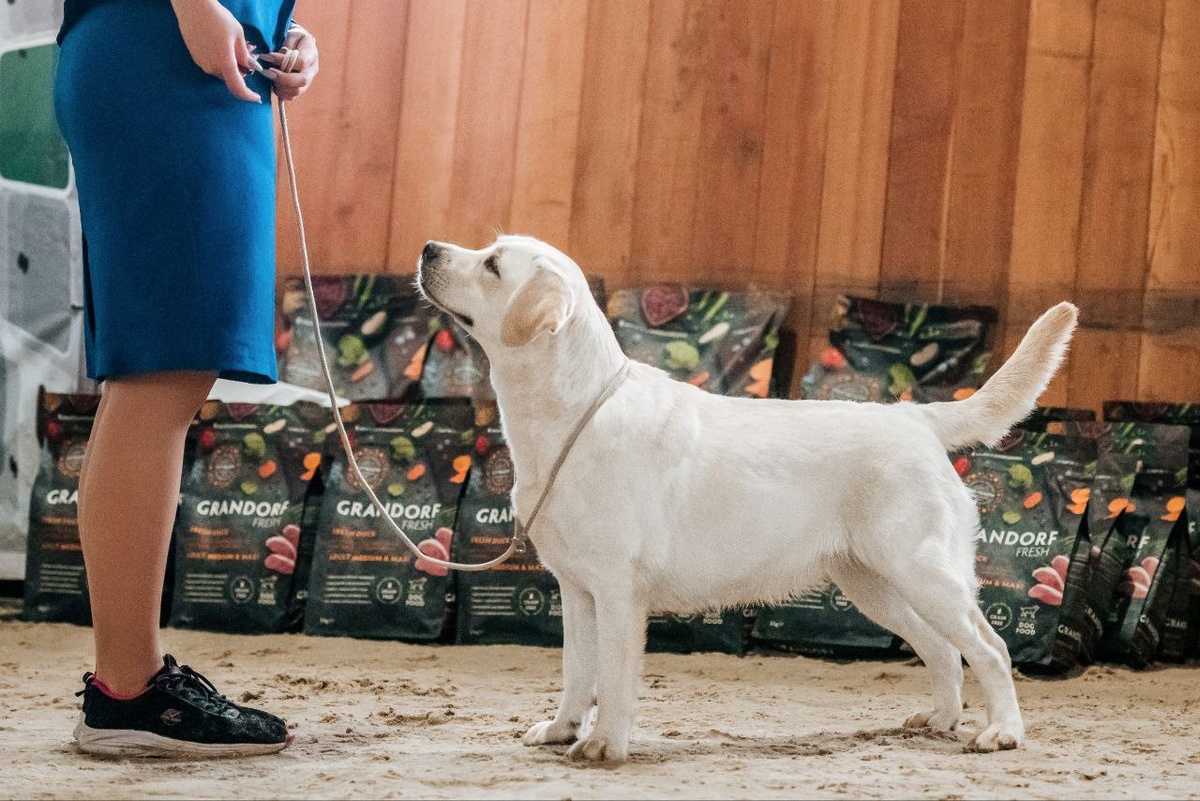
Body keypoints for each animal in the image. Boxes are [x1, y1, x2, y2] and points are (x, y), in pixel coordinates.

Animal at [416, 234, 1078, 763]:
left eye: (493, 265)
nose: (427, 249)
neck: (571, 411)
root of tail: (915, 417)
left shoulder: (618, 589)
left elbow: (614, 677)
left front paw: (606, 745)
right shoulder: (576, 591)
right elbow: (576, 672)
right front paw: (561, 729)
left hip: (922, 572)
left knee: (990, 648)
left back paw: (1002, 733)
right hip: (874, 584)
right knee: (941, 650)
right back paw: (939, 719)